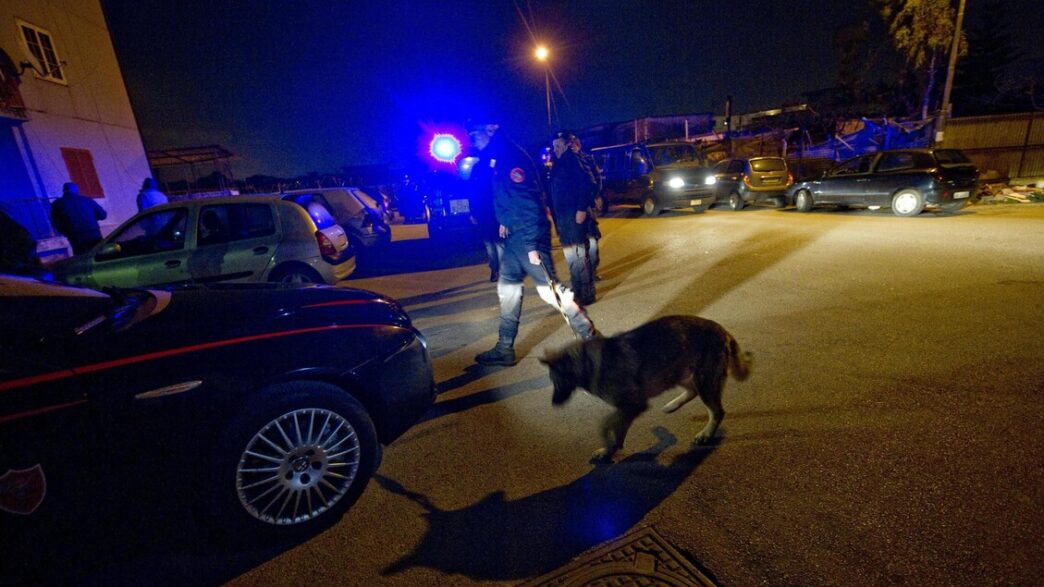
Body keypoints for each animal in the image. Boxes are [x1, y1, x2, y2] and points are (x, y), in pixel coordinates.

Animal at [538, 313, 751, 459]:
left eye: (556, 381)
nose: (553, 403)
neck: (587, 363)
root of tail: (721, 329)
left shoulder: (633, 405)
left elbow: (604, 424)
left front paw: (608, 446)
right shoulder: (628, 408)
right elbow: (618, 425)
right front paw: (613, 447)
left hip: (702, 380)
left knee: (716, 411)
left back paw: (706, 432)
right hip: (676, 371)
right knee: (691, 391)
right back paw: (674, 404)